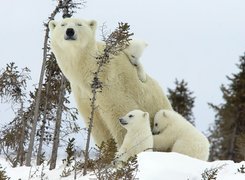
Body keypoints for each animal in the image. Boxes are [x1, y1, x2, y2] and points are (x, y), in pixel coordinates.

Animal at [48, 18, 172, 147]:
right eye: (63, 25)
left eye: (79, 24)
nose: (70, 31)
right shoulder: (83, 94)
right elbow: (98, 126)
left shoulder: (112, 84)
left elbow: (120, 116)